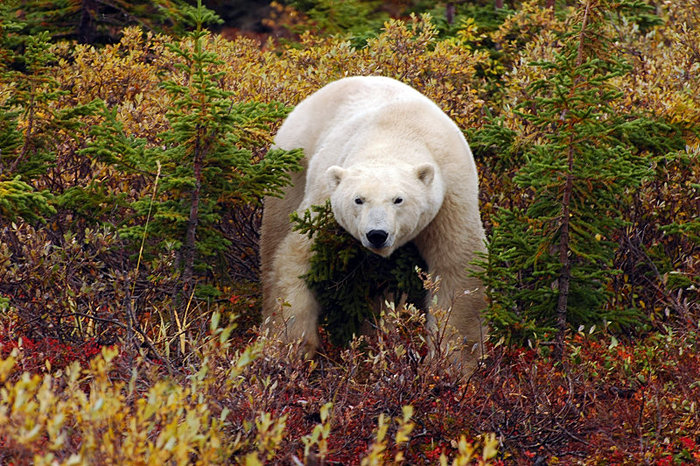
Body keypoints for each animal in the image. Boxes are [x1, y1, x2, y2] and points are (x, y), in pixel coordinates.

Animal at [262, 77, 486, 374]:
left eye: (398, 199)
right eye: (359, 199)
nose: (377, 234)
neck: (394, 132)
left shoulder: (450, 196)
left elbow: (458, 269)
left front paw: (453, 365)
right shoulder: (325, 202)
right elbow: (296, 259)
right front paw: (291, 347)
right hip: (292, 166)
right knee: (274, 235)